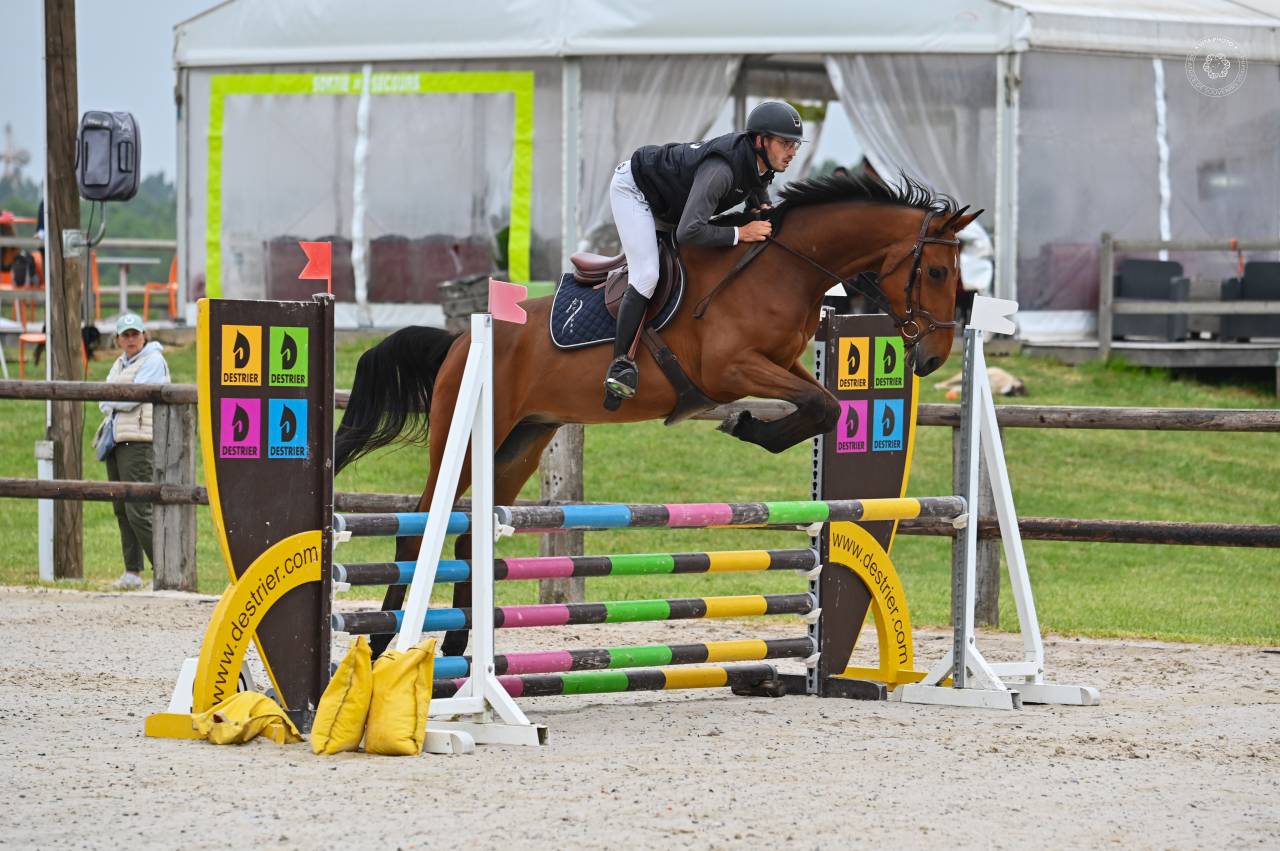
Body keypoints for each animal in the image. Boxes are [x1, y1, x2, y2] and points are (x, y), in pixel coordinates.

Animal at [334, 173, 981, 657]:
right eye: (937, 272)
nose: (932, 357)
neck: (784, 268)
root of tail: (460, 340)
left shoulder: (780, 365)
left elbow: (825, 405)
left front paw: (753, 428)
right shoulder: (731, 368)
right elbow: (820, 404)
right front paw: (746, 425)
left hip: (520, 444)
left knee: (470, 532)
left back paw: (458, 648)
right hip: (467, 436)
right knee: (417, 525)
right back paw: (387, 642)